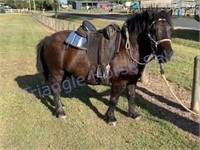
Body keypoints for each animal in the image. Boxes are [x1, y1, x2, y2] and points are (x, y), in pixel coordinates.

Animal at [36, 8, 173, 125]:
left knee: (57, 90)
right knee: (56, 90)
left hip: (64, 73)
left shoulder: (132, 81)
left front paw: (133, 114)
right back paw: (60, 112)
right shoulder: (118, 82)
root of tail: (48, 39)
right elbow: (114, 99)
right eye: (153, 30)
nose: (168, 54)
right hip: (57, 73)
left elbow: (131, 97)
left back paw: (60, 105)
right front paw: (111, 118)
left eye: (170, 29)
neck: (128, 50)